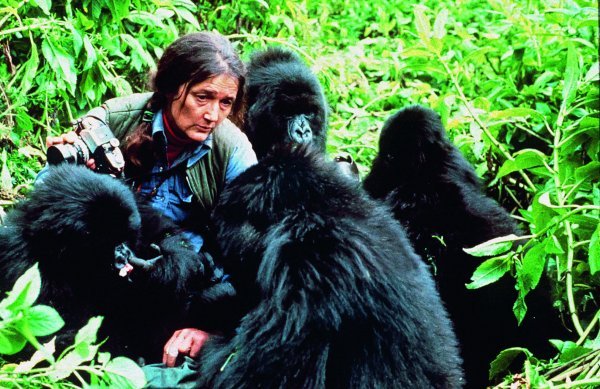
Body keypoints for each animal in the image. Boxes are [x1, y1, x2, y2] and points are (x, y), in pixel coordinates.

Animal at [0, 164, 225, 364]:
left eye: (123, 238)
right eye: (107, 244)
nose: (123, 255)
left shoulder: (135, 203)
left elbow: (168, 235)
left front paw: (163, 269)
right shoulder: (21, 262)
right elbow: (52, 339)